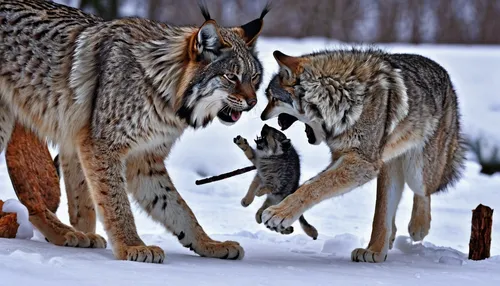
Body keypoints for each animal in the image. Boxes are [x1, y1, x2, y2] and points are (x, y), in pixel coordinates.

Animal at [0, 0, 270, 264]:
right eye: (231, 76)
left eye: (254, 76)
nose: (253, 103)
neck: (165, 93)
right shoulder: (103, 146)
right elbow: (116, 202)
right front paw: (131, 246)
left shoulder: (144, 158)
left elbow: (177, 207)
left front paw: (208, 244)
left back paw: (75, 235)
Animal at [260, 47, 466, 264]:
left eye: (272, 99)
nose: (262, 116)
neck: (342, 96)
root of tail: (446, 77)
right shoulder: (344, 157)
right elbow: (309, 185)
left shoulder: (363, 163)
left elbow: (312, 188)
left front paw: (278, 214)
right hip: (388, 166)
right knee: (385, 211)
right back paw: (376, 249)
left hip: (416, 172)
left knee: (423, 192)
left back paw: (417, 228)